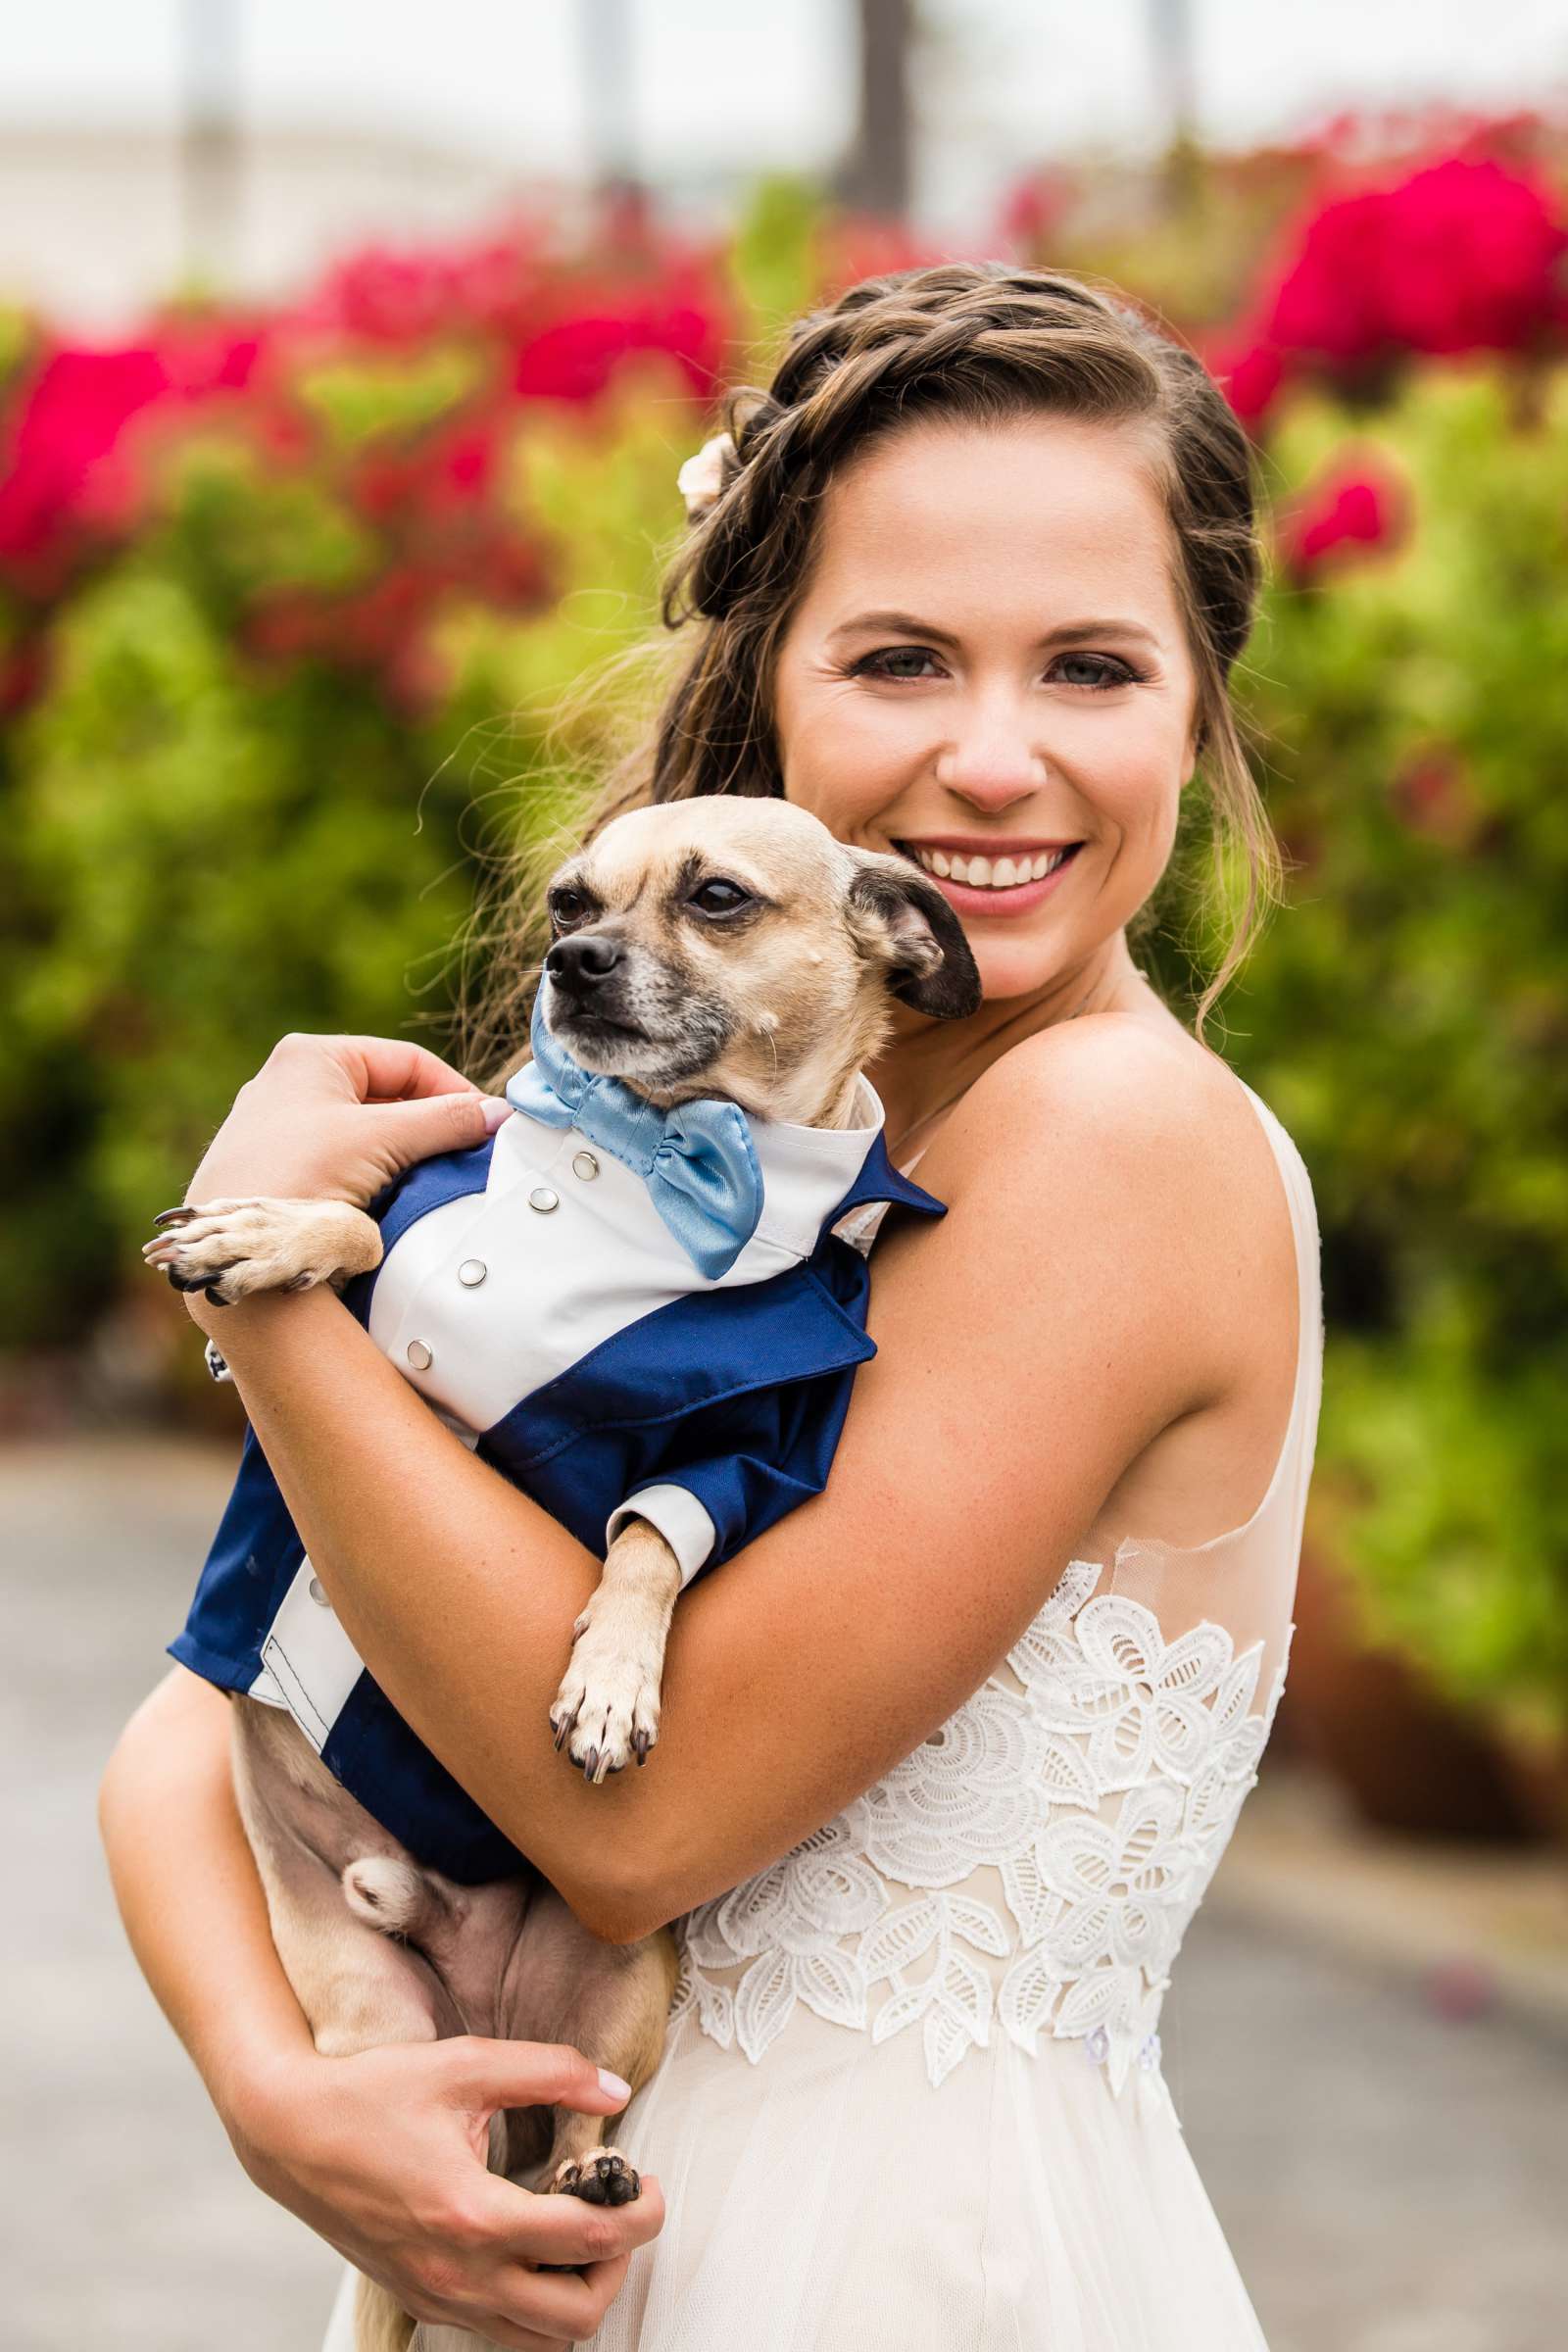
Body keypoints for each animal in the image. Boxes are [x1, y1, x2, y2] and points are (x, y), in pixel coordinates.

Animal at [150, 800, 982, 2342]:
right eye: (564, 905)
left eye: (717, 899)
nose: (573, 964)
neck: (652, 1159)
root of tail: (477, 2005)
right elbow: (364, 1230)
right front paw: (270, 1232)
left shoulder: (753, 1451)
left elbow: (654, 1538)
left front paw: (612, 1679)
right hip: (367, 2027)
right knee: (453, 2148)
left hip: (614, 1991)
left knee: (576, 2128)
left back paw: (586, 2179)